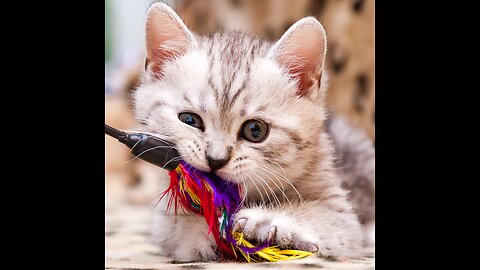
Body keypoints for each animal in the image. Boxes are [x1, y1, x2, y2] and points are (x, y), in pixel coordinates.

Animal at [134, 2, 372, 262]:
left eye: (255, 130)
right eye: (189, 120)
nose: (215, 159)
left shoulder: (341, 212)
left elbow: (324, 217)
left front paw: (264, 220)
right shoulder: (163, 220)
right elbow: (177, 227)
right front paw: (206, 230)